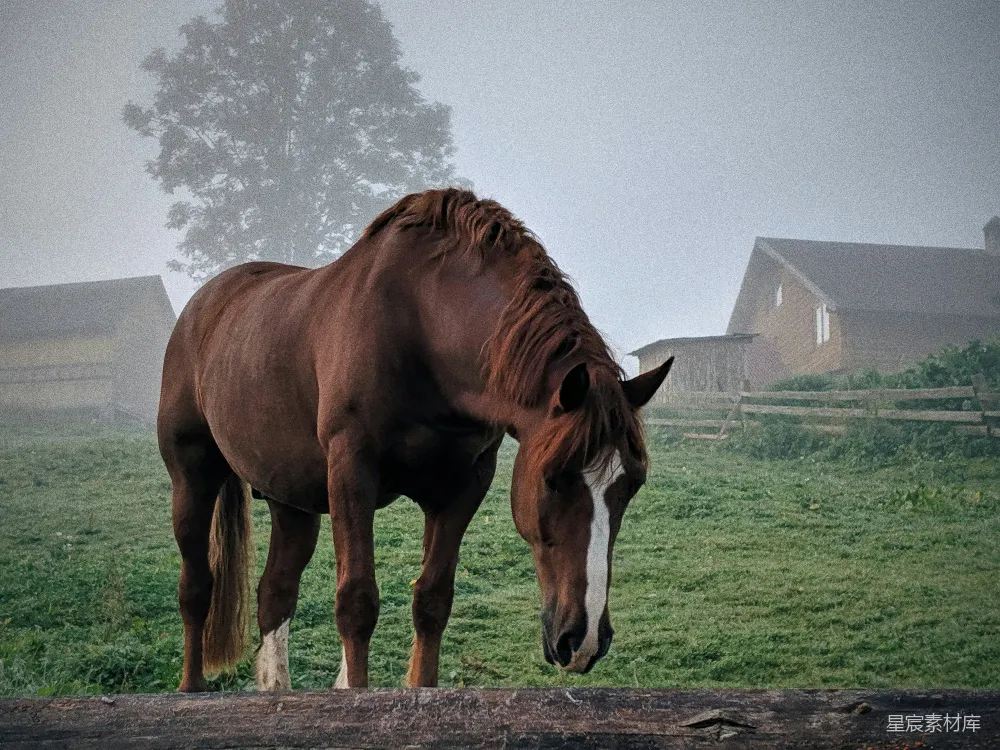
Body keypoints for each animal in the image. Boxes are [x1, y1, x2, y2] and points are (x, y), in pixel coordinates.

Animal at [157, 188, 673, 691]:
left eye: (632, 485)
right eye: (554, 478)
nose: (583, 641)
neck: (422, 326)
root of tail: (206, 302)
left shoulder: (463, 486)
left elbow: (432, 601)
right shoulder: (352, 473)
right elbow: (357, 604)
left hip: (291, 499)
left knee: (275, 593)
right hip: (193, 477)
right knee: (196, 587)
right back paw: (191, 688)